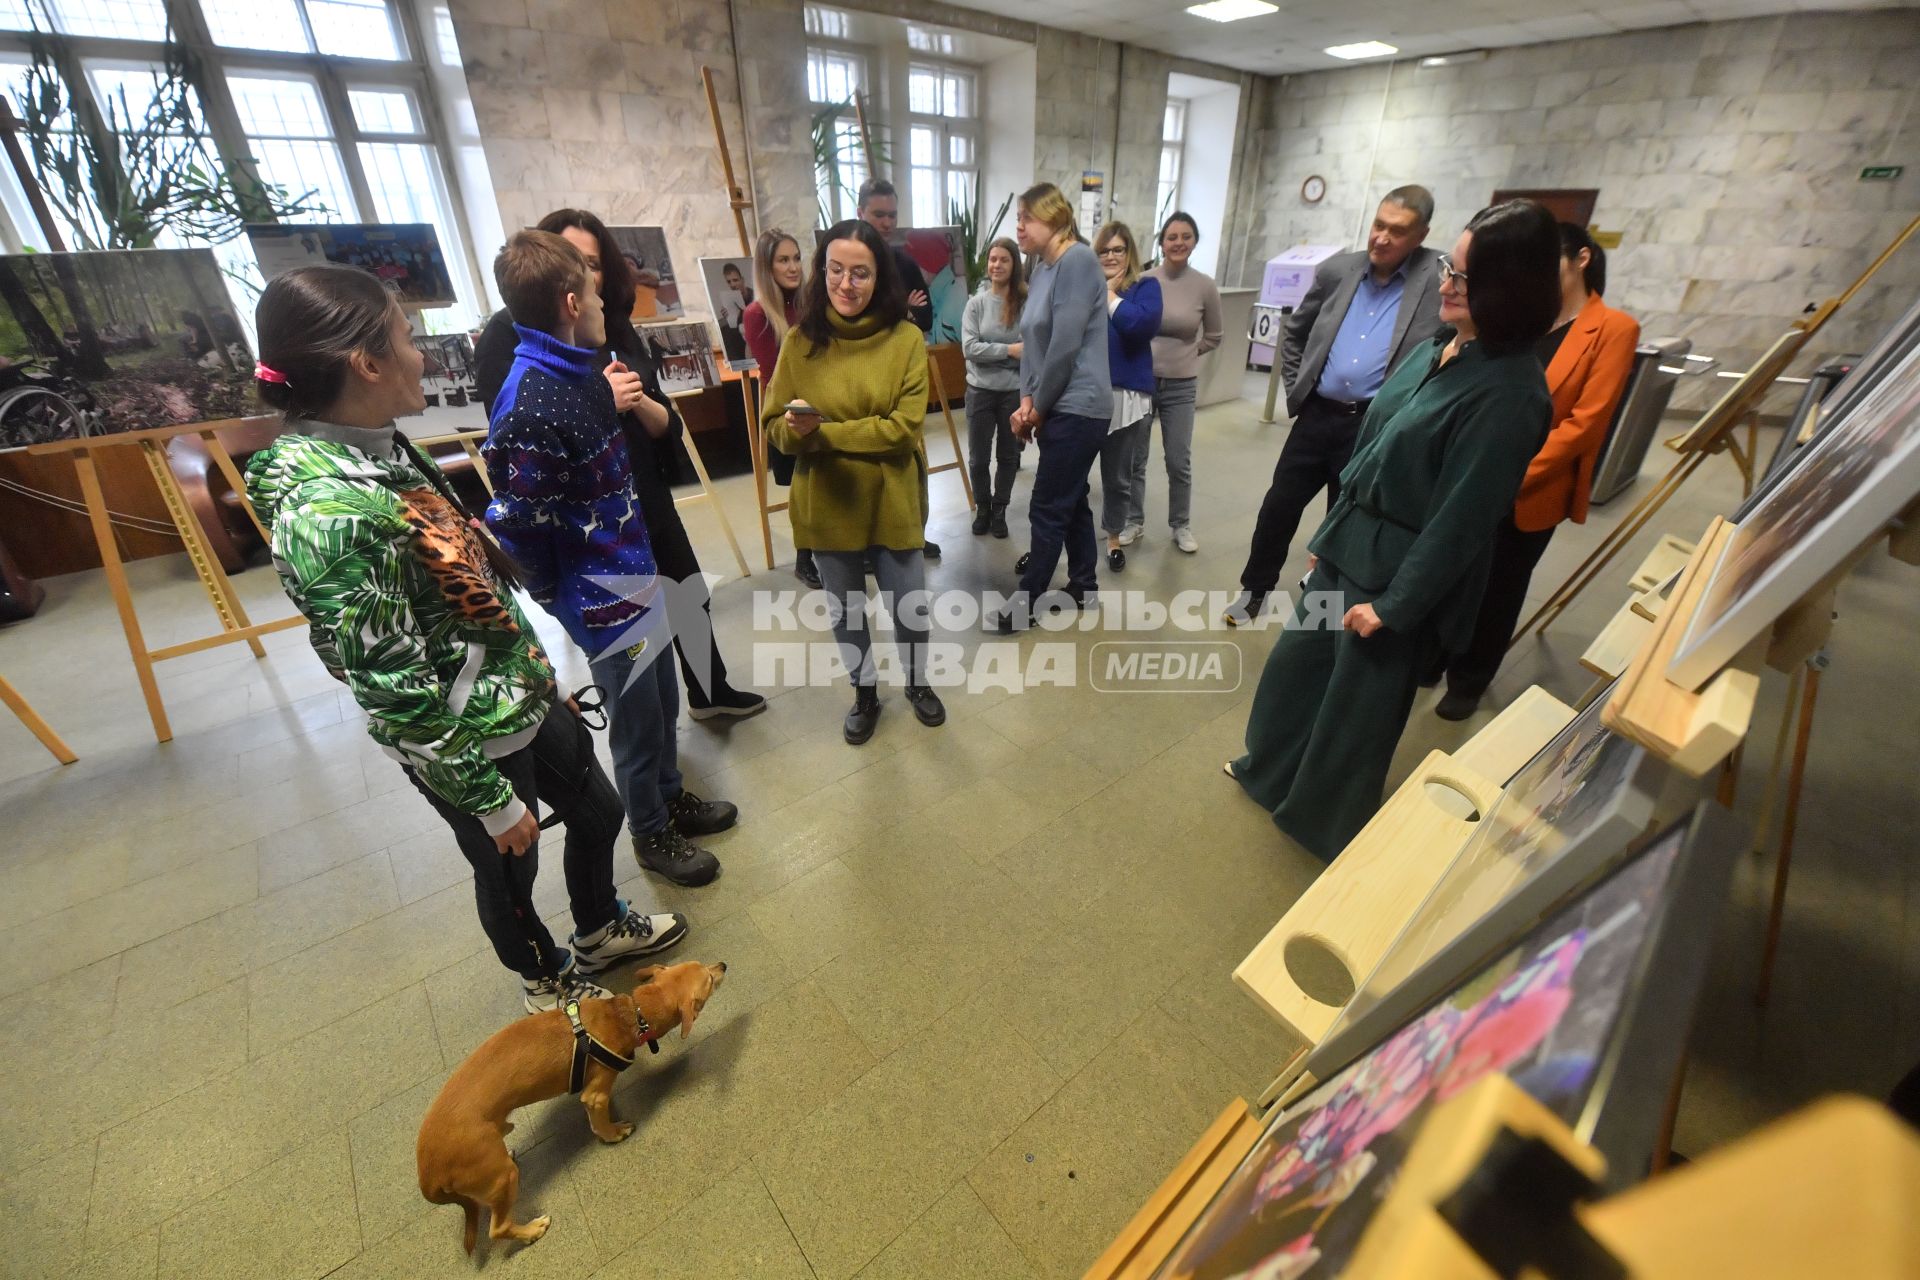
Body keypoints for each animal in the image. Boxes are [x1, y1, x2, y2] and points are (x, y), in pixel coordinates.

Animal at [416, 959, 721, 1251]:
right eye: (708, 979)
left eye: (700, 964)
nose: (723, 966)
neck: (627, 1015)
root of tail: (427, 1173)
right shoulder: (595, 1095)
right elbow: (600, 1119)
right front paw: (613, 1133)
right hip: (503, 1179)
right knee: (498, 1228)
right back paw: (531, 1231)